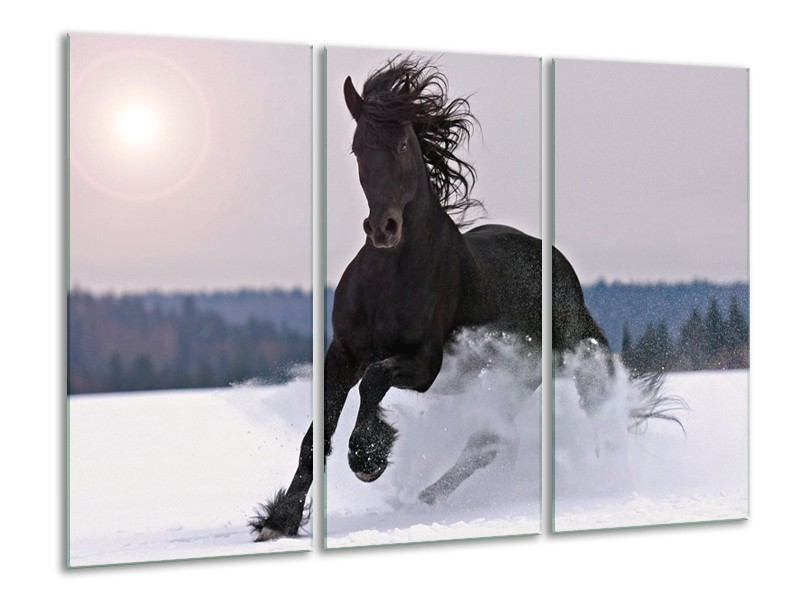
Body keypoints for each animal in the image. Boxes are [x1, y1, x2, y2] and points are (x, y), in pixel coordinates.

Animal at [249, 56, 618, 541]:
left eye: (404, 143)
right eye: (357, 148)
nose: (384, 228)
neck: (390, 279)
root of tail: (562, 269)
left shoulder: (425, 363)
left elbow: (373, 382)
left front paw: (367, 457)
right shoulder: (343, 353)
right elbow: (316, 434)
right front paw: (279, 519)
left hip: (533, 370)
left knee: (498, 437)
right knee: (489, 441)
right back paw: (427, 496)